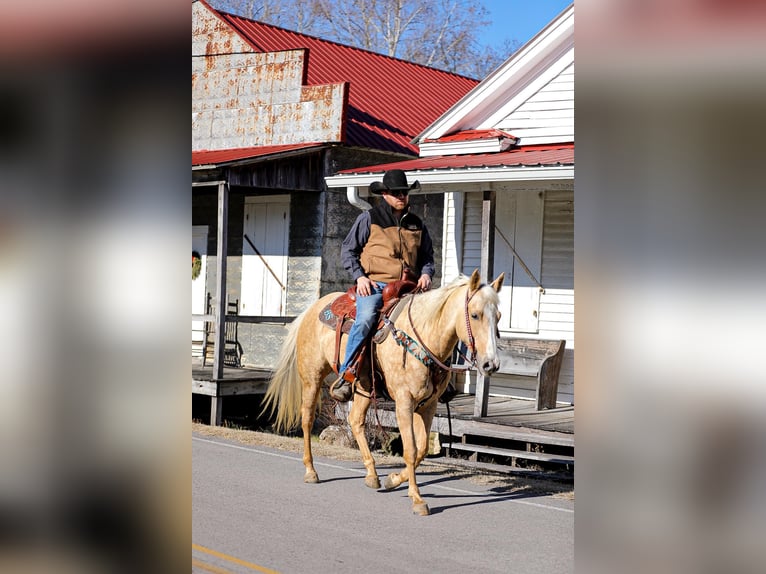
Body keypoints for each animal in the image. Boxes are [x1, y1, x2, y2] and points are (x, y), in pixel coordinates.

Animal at [260, 270, 508, 516]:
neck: (424, 338)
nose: (491, 364)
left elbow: (422, 450)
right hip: (311, 379)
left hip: (363, 389)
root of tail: (312, 309)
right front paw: (417, 499)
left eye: (498, 316)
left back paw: (372, 475)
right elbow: (410, 450)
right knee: (308, 420)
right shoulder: (404, 402)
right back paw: (311, 471)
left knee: (356, 421)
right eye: (475, 315)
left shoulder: (428, 405)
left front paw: (393, 479)